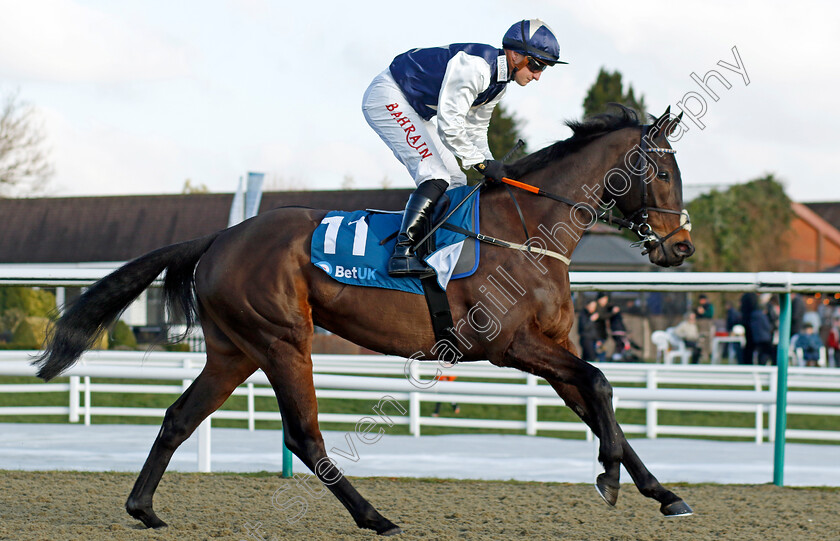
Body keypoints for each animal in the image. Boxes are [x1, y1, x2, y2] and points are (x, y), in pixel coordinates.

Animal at [34, 103, 696, 532]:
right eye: (663, 172)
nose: (681, 247)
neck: (527, 231)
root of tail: (221, 237)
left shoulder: (552, 348)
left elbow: (599, 404)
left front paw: (663, 493)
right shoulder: (510, 345)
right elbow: (601, 383)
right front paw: (610, 481)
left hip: (234, 350)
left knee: (179, 417)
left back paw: (143, 508)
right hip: (282, 340)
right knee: (303, 435)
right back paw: (376, 517)